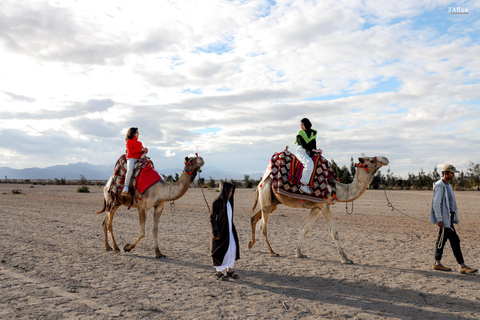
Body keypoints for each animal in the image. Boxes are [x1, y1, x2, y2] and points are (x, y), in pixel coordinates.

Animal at [249, 154, 388, 262]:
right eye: (370, 160)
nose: (386, 159)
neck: (336, 189)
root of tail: (261, 182)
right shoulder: (324, 205)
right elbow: (334, 232)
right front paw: (346, 258)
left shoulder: (316, 207)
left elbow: (304, 229)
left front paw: (299, 253)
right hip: (266, 196)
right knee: (263, 227)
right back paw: (272, 252)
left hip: (272, 202)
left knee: (254, 218)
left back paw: (250, 244)